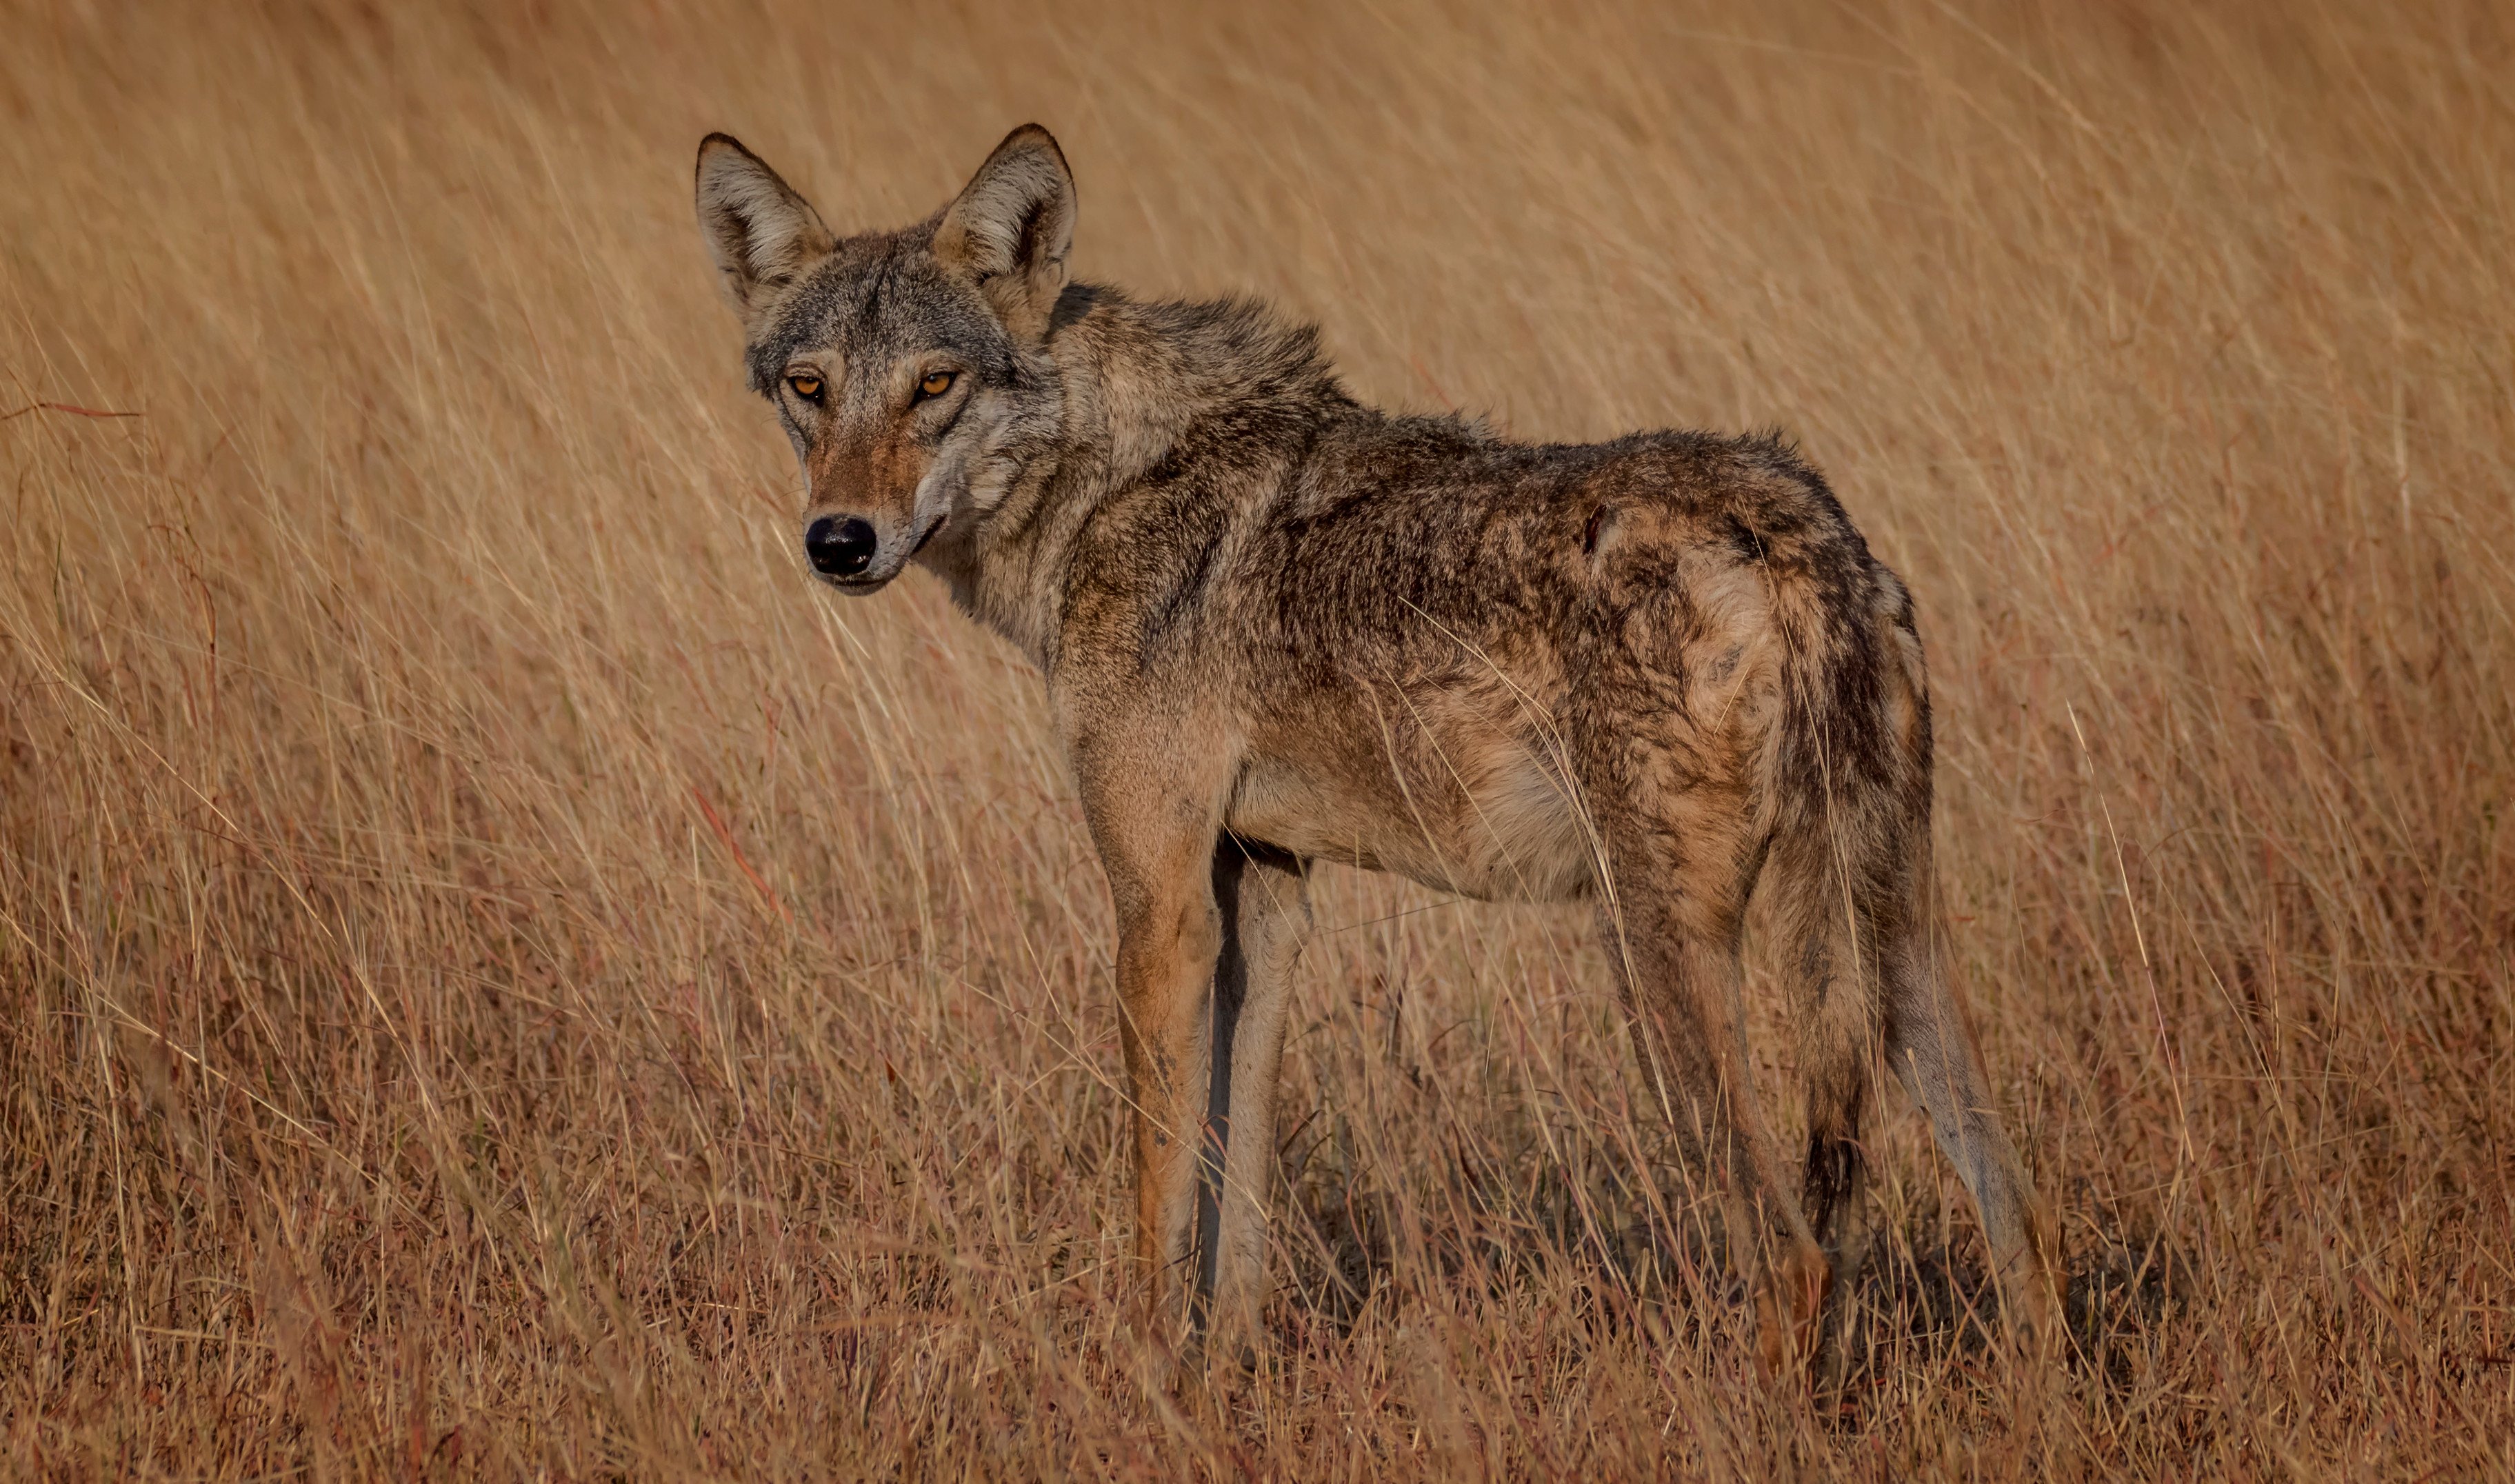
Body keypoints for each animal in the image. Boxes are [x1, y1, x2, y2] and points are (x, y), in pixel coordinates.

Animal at [694, 125, 2062, 1388]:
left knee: (1794, 1253)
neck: (1103, 486)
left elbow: (1157, 1203)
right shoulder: (1262, 898)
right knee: (2020, 1230)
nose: (838, 540)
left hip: (1660, 958)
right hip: (1894, 957)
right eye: (810, 388)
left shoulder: (1157, 911)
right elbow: (1236, 1198)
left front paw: (1146, 1385)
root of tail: (1796, 525)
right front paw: (1226, 1380)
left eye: (932, 386)